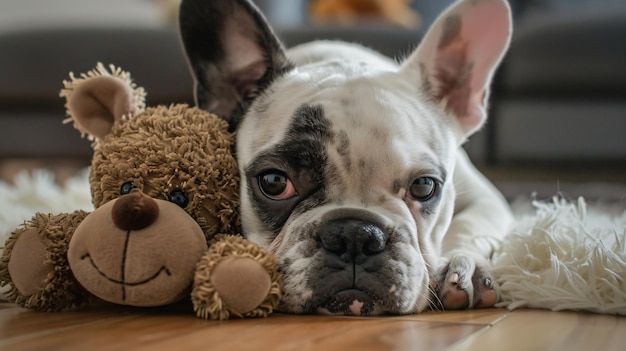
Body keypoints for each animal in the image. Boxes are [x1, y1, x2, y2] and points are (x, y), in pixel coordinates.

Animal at [178, 0, 510, 318]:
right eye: (274, 182)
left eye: (424, 186)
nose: (356, 235)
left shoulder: (486, 199)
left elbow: (469, 224)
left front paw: (463, 264)